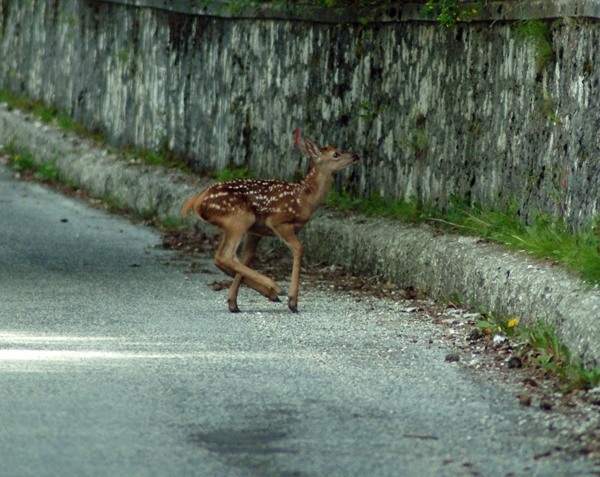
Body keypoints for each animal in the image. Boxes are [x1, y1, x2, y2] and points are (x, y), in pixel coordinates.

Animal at [183, 134, 358, 312]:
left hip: (231, 226)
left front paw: (233, 301)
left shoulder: (256, 233)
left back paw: (256, 298)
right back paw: (277, 289)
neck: (306, 198)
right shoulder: (279, 221)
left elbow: (248, 257)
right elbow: (299, 249)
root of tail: (197, 201)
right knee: (227, 256)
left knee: (221, 258)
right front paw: (293, 302)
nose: (356, 155)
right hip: (241, 218)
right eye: (336, 154)